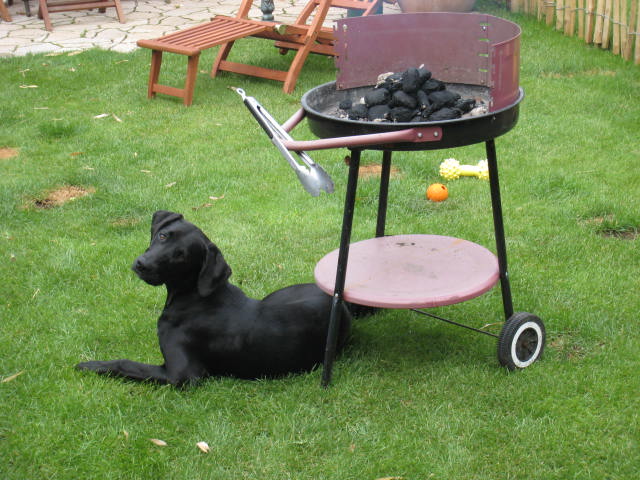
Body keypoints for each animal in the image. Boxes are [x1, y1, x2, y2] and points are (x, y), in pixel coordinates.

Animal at [79, 210, 356, 386]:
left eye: (181, 255)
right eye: (162, 236)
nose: (142, 264)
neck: (193, 298)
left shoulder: (181, 375)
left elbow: (126, 363)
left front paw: (92, 365)